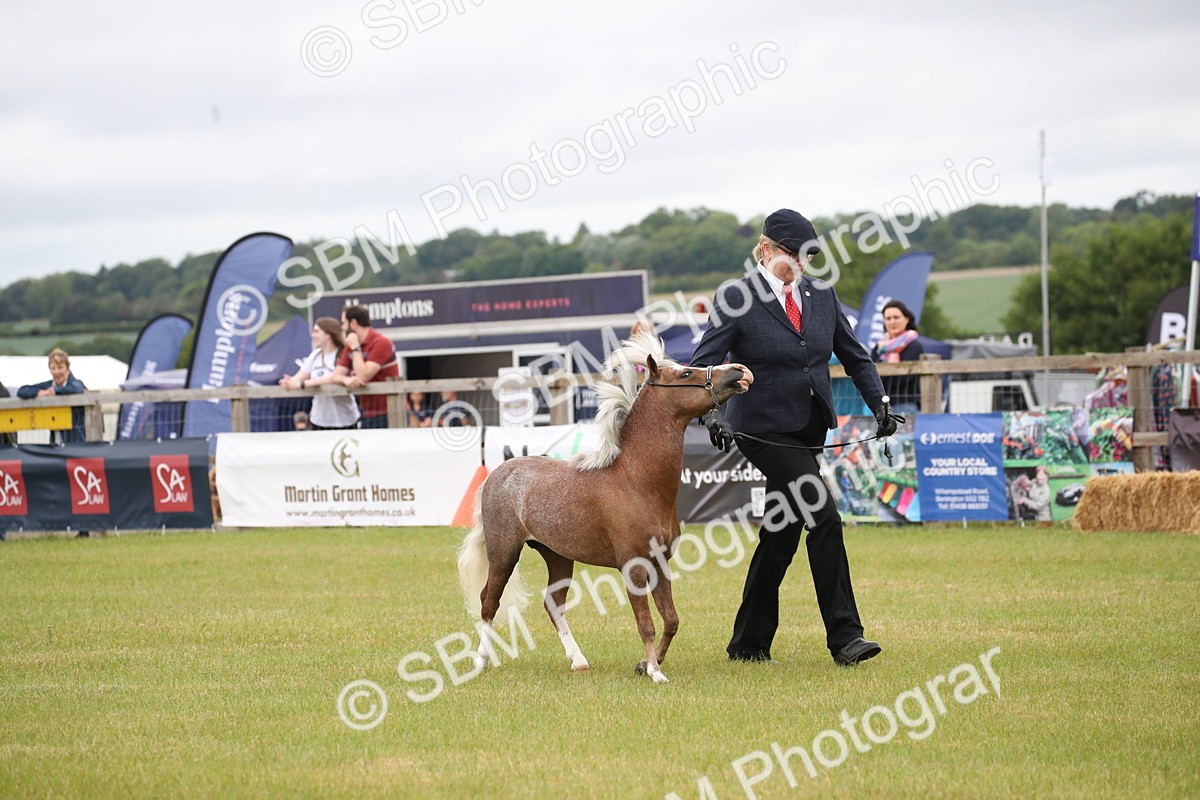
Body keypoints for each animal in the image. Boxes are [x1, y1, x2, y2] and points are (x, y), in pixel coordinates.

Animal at [457, 334, 751, 683]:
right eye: (685, 374)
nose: (738, 372)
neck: (637, 482)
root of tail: (497, 475)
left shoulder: (660, 563)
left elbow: (671, 620)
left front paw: (647, 664)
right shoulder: (634, 567)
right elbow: (646, 624)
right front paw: (654, 672)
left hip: (557, 556)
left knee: (553, 603)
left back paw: (578, 661)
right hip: (504, 552)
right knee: (489, 601)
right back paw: (480, 661)